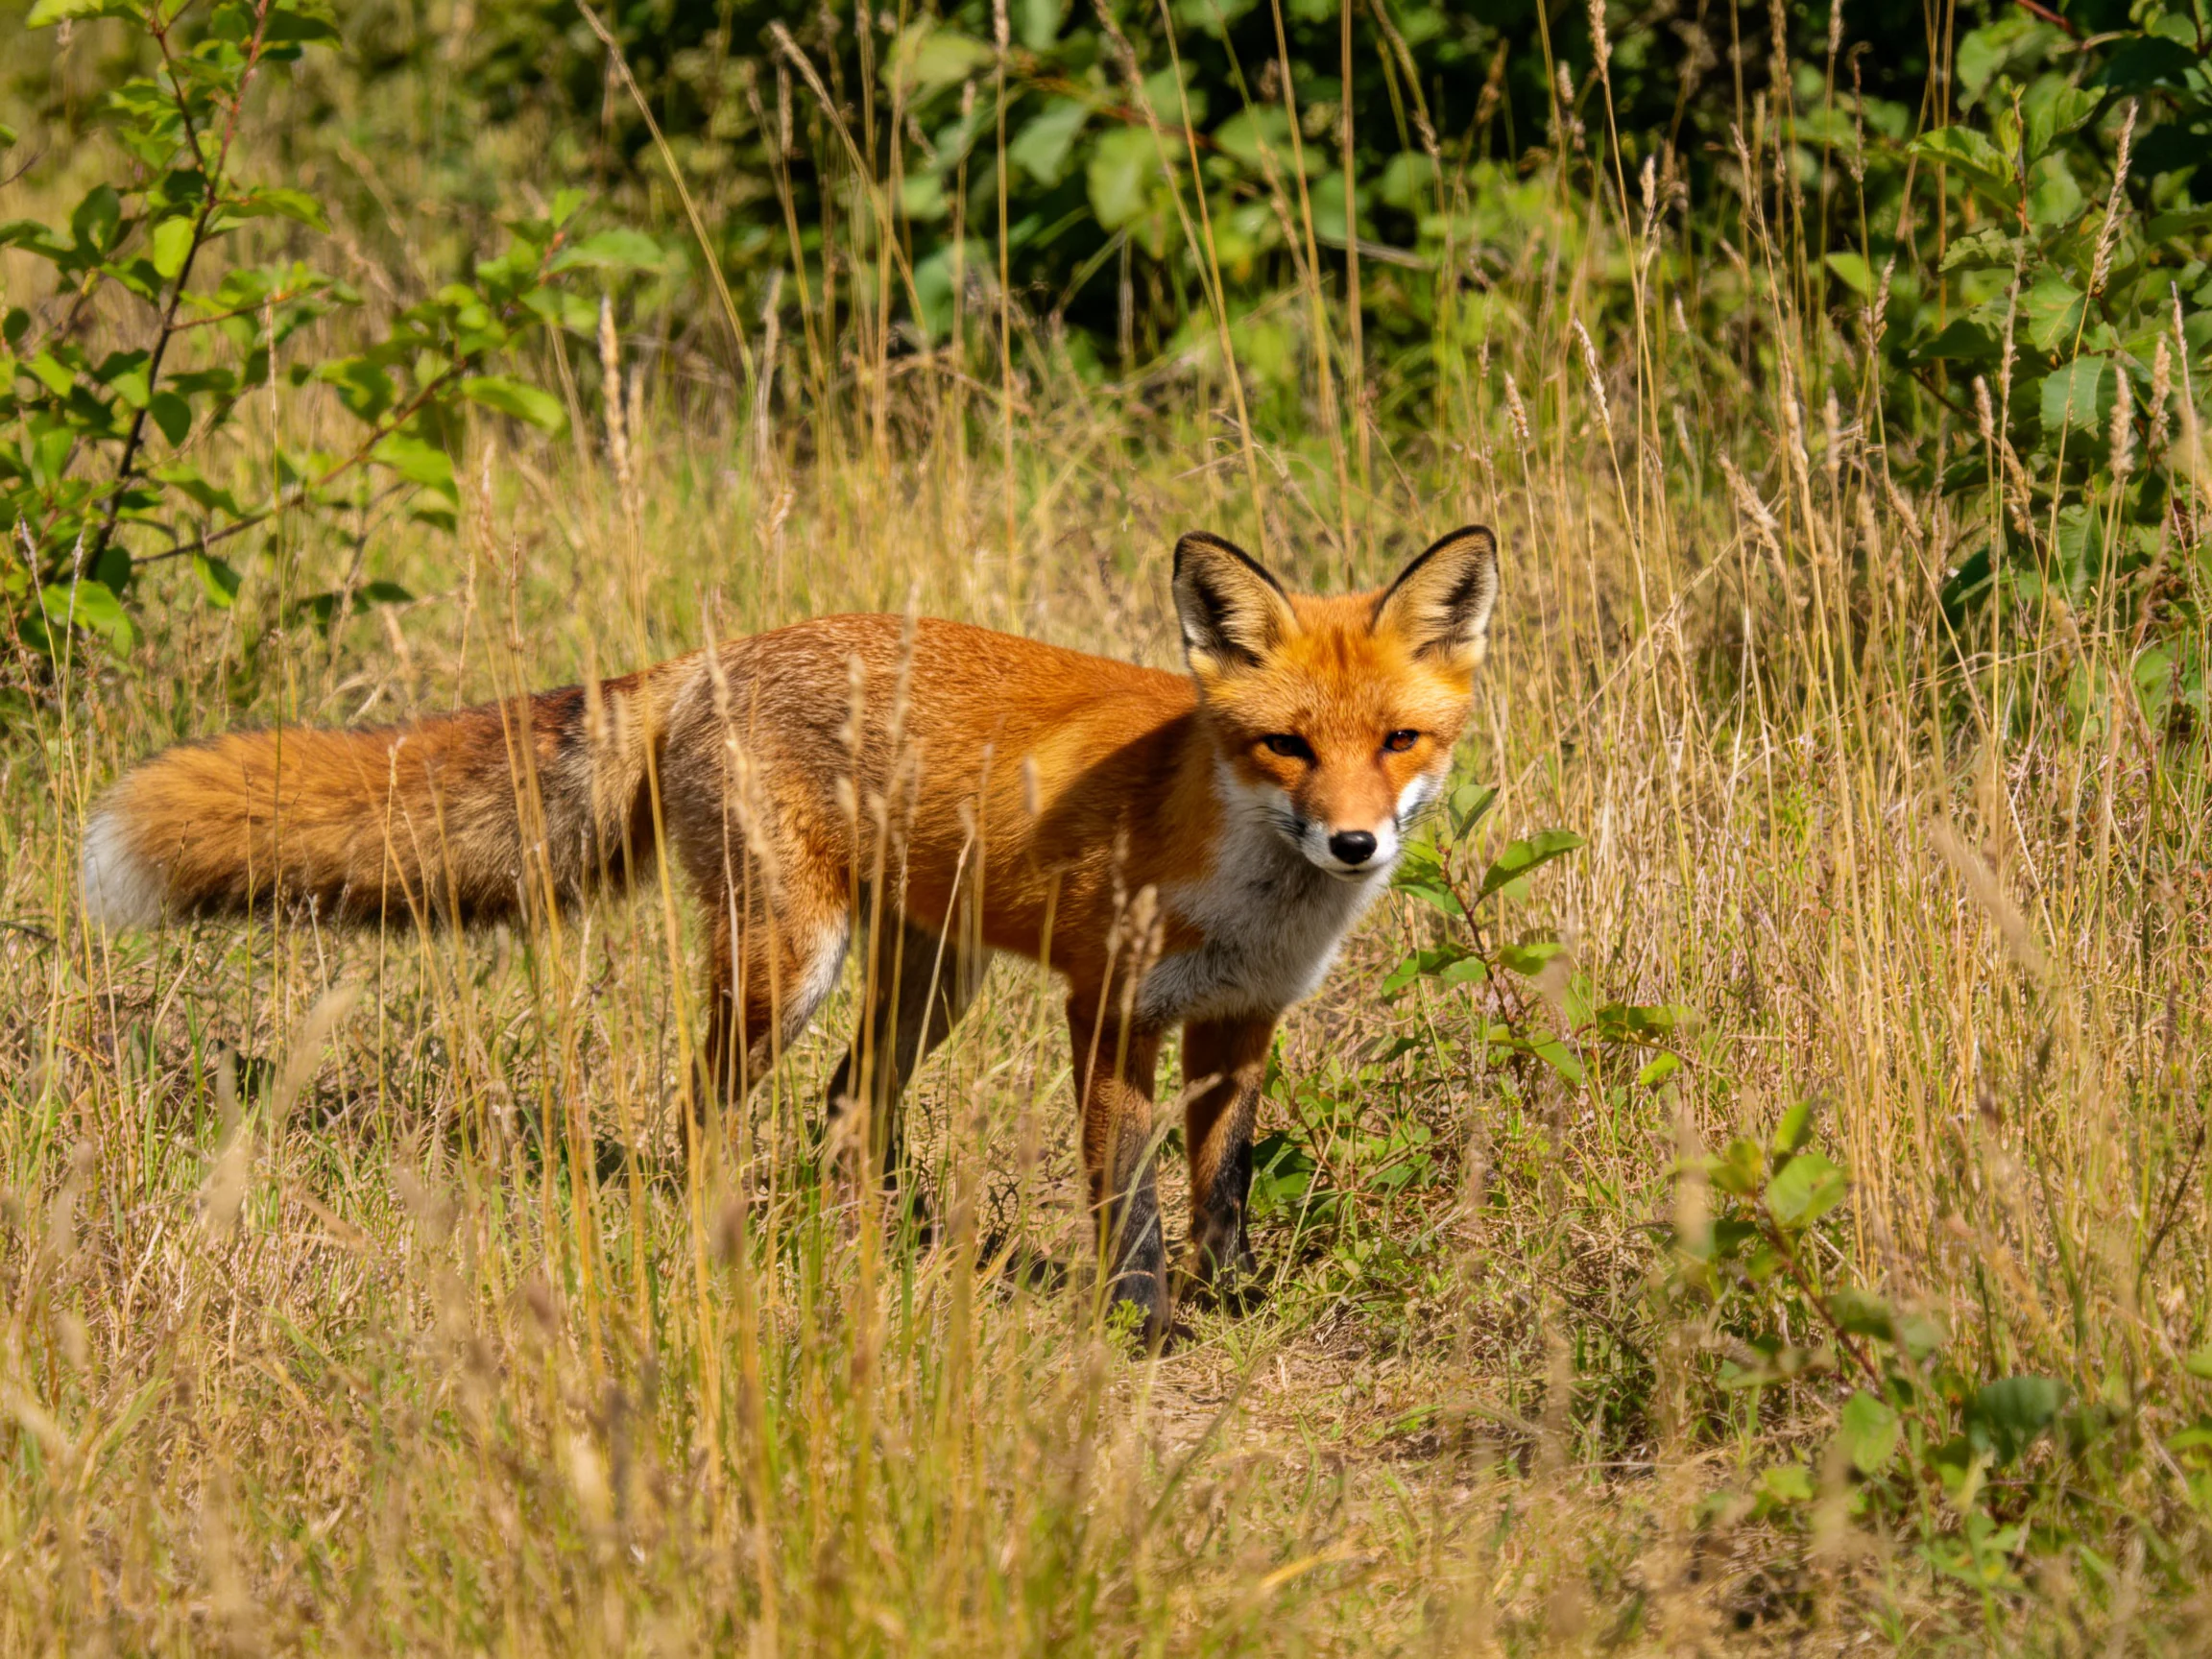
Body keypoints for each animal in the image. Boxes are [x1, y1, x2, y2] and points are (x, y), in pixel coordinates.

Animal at [82, 525, 1499, 1338]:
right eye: (1286, 747)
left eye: (1399, 742)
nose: (1354, 845)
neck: (1251, 883)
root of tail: (713, 658)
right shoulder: (1107, 1011)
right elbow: (1131, 1204)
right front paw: (1145, 1327)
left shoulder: (1243, 1022)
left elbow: (1224, 1189)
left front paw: (1241, 1302)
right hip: (789, 967)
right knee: (703, 1110)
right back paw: (727, 1239)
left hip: (929, 985)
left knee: (845, 1111)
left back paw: (881, 1238)